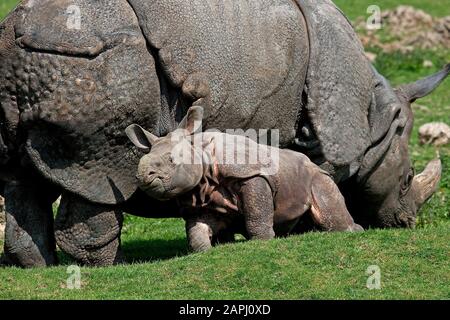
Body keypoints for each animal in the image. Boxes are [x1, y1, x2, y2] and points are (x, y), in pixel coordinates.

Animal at [126, 106, 362, 251]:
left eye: (171, 160)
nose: (142, 177)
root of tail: (312, 163)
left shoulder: (250, 173)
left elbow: (256, 208)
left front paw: (263, 241)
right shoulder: (197, 196)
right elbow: (197, 228)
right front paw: (204, 250)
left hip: (316, 176)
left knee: (327, 206)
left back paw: (354, 230)